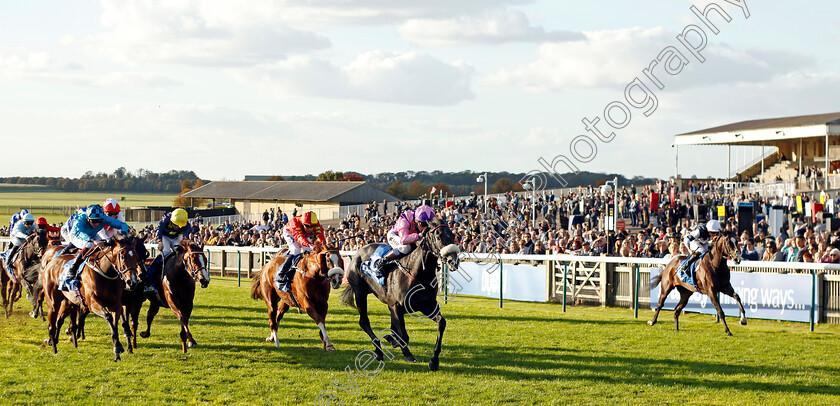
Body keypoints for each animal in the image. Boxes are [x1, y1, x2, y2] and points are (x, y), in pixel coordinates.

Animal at [340, 219, 460, 372]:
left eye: (453, 235)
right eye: (438, 236)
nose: (453, 261)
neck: (418, 274)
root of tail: (358, 252)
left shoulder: (428, 306)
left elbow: (441, 323)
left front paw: (434, 361)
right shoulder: (396, 306)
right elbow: (403, 335)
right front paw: (403, 350)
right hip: (360, 293)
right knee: (364, 322)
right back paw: (379, 351)